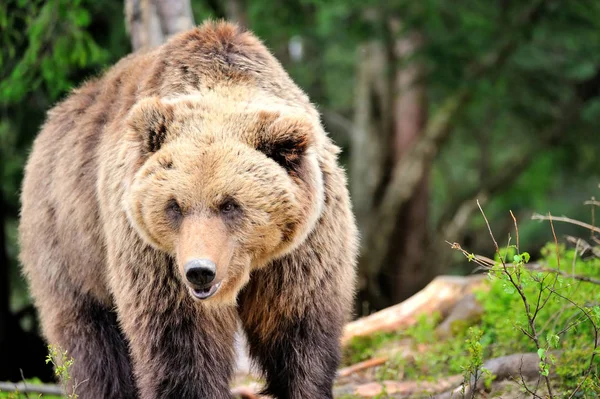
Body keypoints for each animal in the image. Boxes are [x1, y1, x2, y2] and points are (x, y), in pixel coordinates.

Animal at [17, 21, 356, 399]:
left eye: (229, 204)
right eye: (174, 206)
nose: (200, 271)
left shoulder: (302, 249)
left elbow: (299, 331)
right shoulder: (154, 256)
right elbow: (181, 344)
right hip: (69, 242)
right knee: (90, 340)